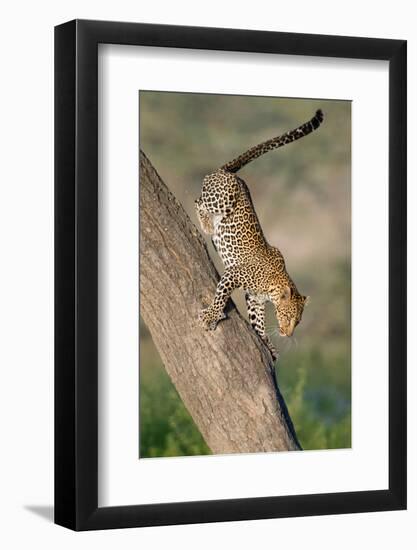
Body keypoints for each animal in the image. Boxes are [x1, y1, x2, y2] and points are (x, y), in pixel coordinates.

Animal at [193, 110, 324, 364]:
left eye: (298, 321)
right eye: (288, 316)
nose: (287, 334)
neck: (274, 285)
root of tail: (227, 172)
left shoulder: (254, 299)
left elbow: (259, 324)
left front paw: (269, 346)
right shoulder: (233, 275)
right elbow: (220, 297)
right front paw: (211, 316)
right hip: (223, 197)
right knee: (199, 200)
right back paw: (206, 223)